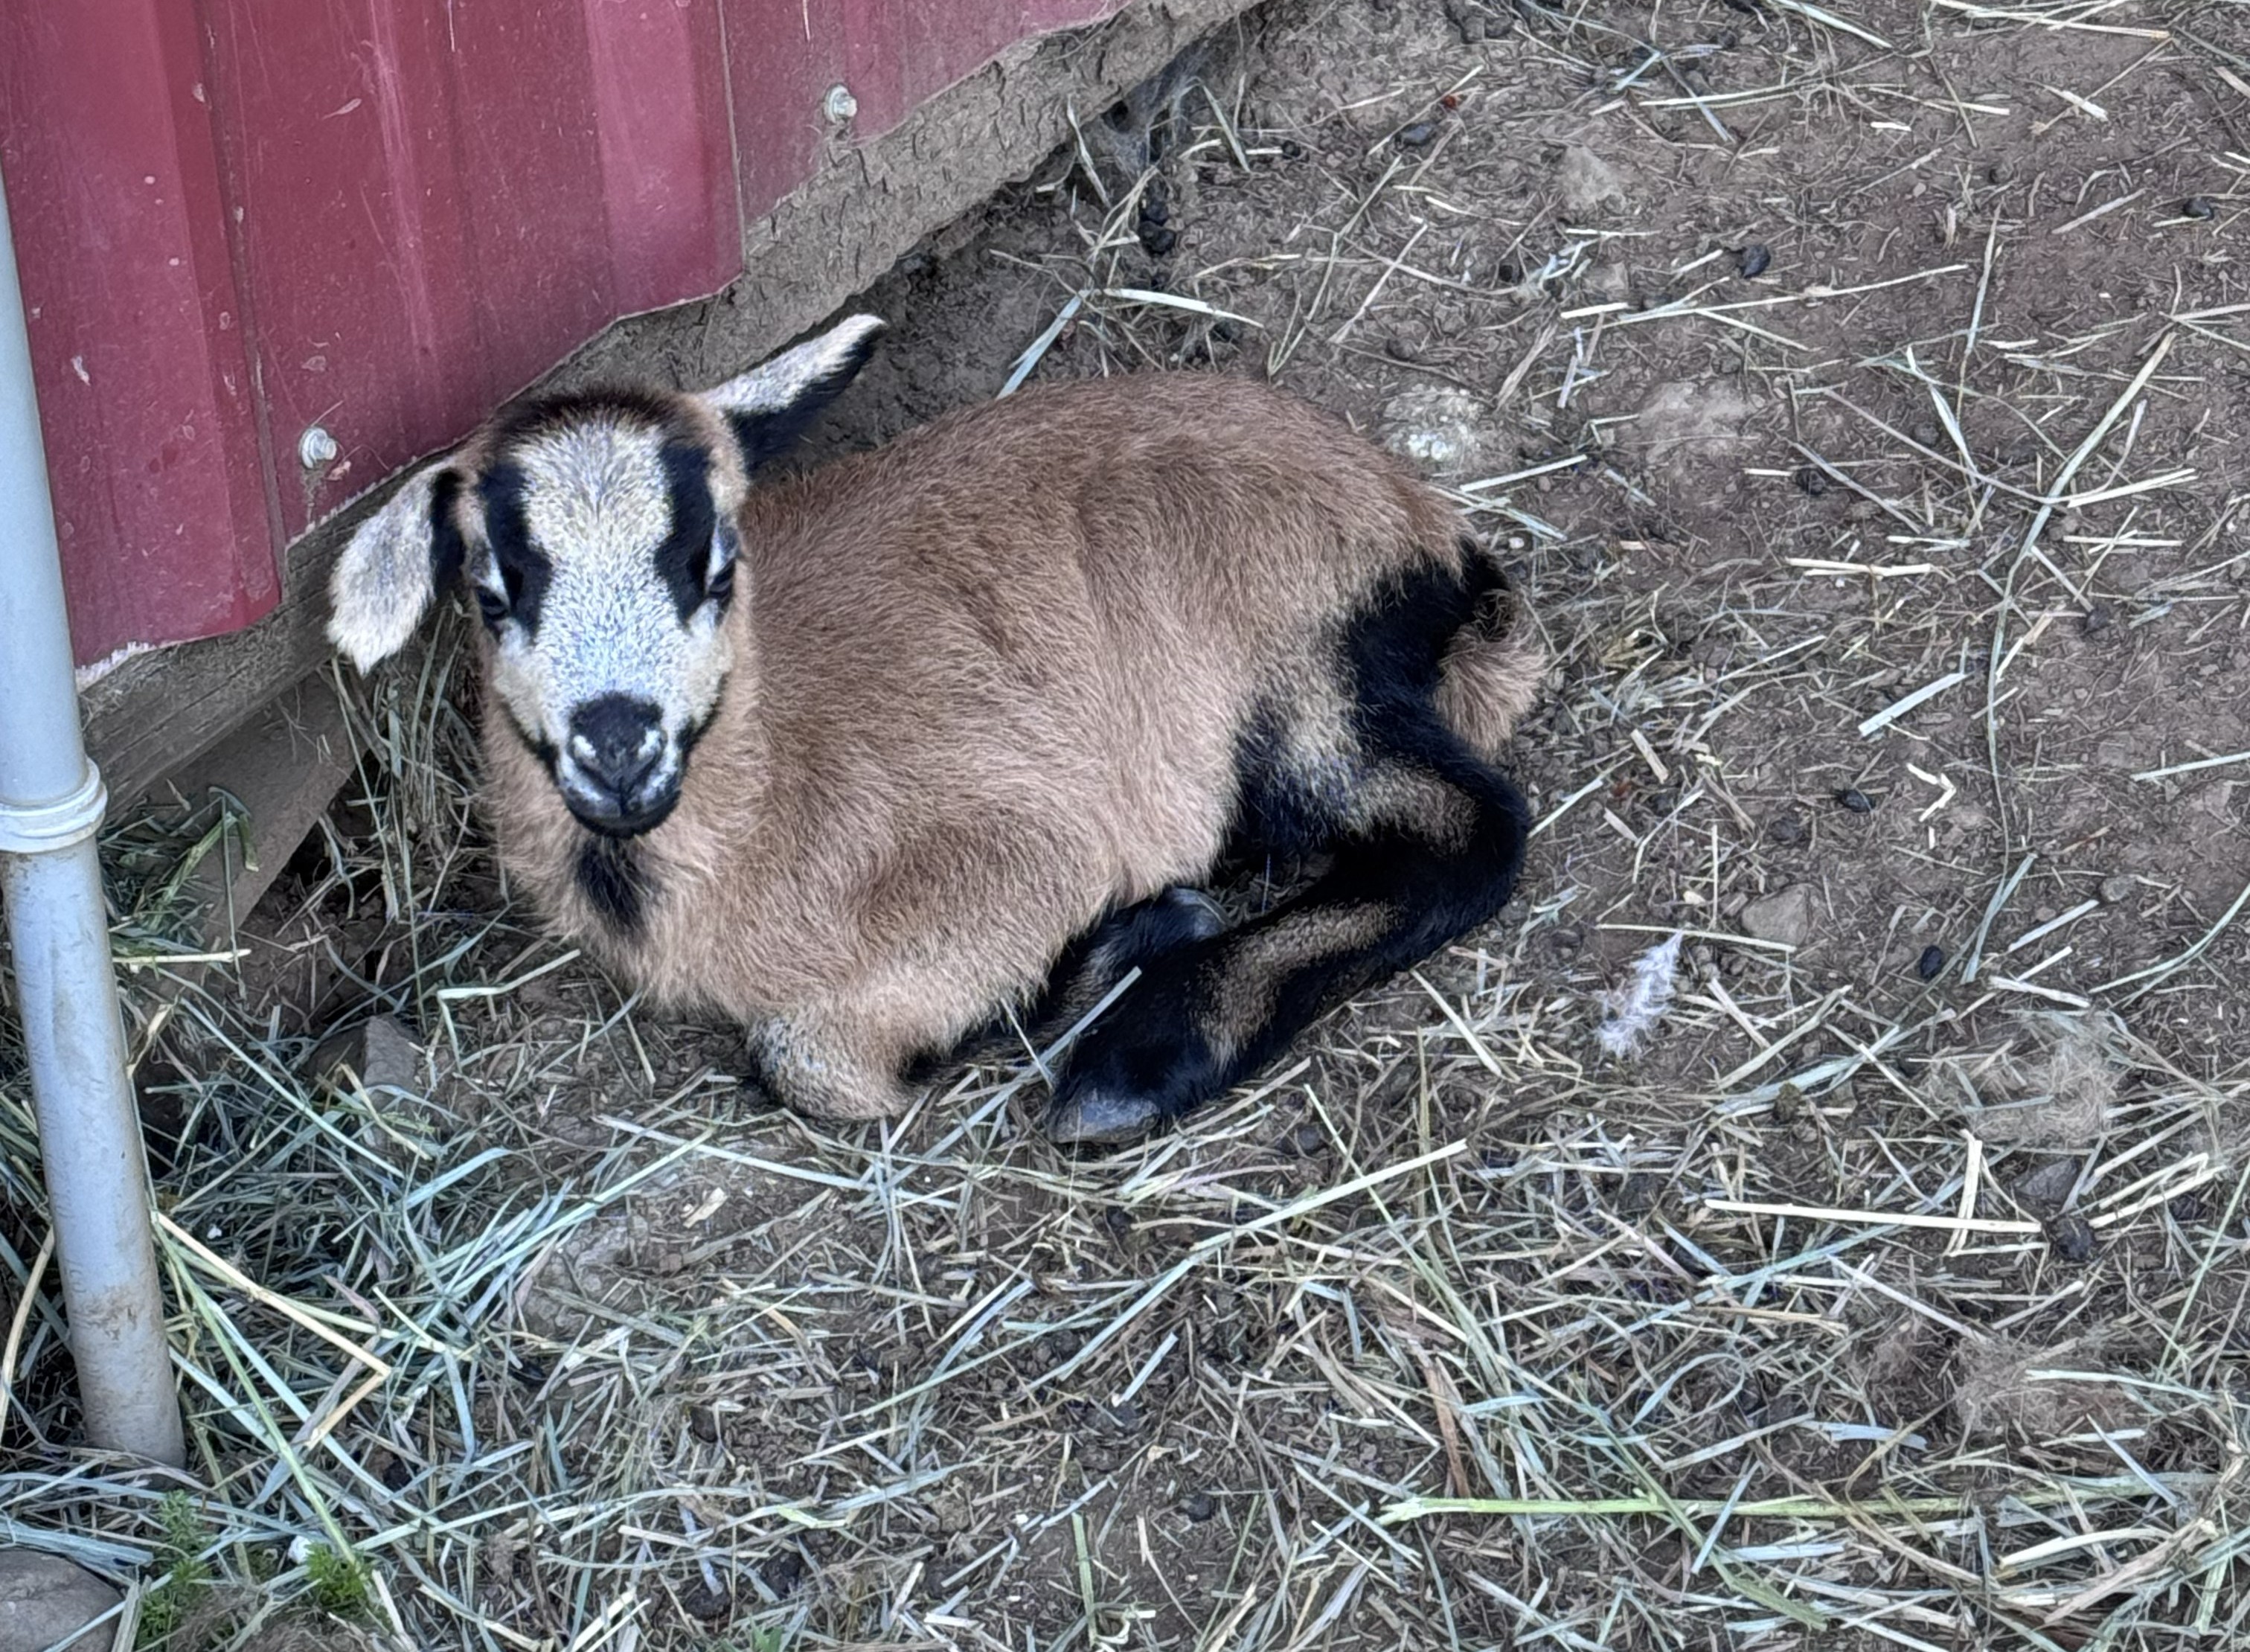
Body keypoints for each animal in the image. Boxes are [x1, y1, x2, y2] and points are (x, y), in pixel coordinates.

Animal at [327, 315, 1542, 1143]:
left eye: (711, 565)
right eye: (495, 589)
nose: (618, 745)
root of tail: (1426, 528)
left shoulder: (1022, 844)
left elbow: (813, 1060)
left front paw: (1120, 951)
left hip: (1293, 673)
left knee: (1471, 832)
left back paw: (1143, 1058)